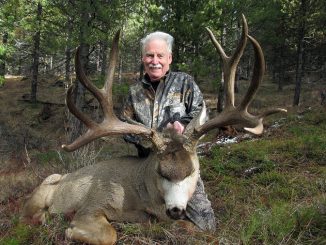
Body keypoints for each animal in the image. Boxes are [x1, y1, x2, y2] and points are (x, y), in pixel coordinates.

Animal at [21, 15, 286, 245]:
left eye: (192, 171)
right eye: (161, 172)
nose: (176, 209)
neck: (141, 199)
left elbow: (198, 229)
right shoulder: (92, 205)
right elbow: (109, 234)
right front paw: (68, 229)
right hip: (39, 194)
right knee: (29, 216)